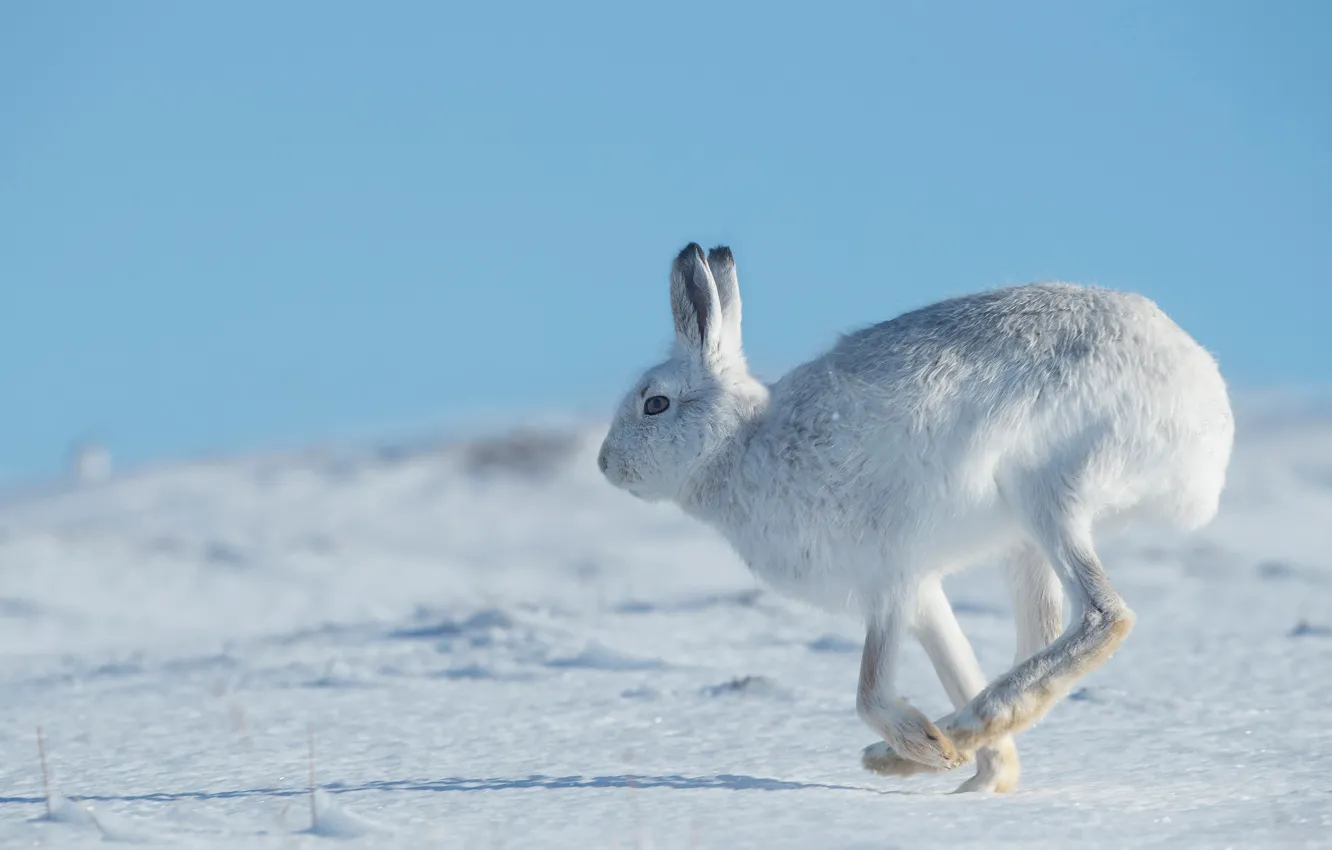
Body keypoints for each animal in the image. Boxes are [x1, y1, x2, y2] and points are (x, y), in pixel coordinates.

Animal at [597, 243, 1234, 793]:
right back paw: (950, 747)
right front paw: (975, 775)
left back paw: (940, 737)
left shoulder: (888, 581)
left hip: (1049, 490)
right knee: (1043, 636)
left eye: (655, 403)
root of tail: (1205, 407)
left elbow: (868, 690)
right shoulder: (921, 592)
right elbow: (955, 658)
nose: (605, 464)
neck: (739, 443)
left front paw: (929, 748)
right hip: (1026, 538)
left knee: (1105, 618)